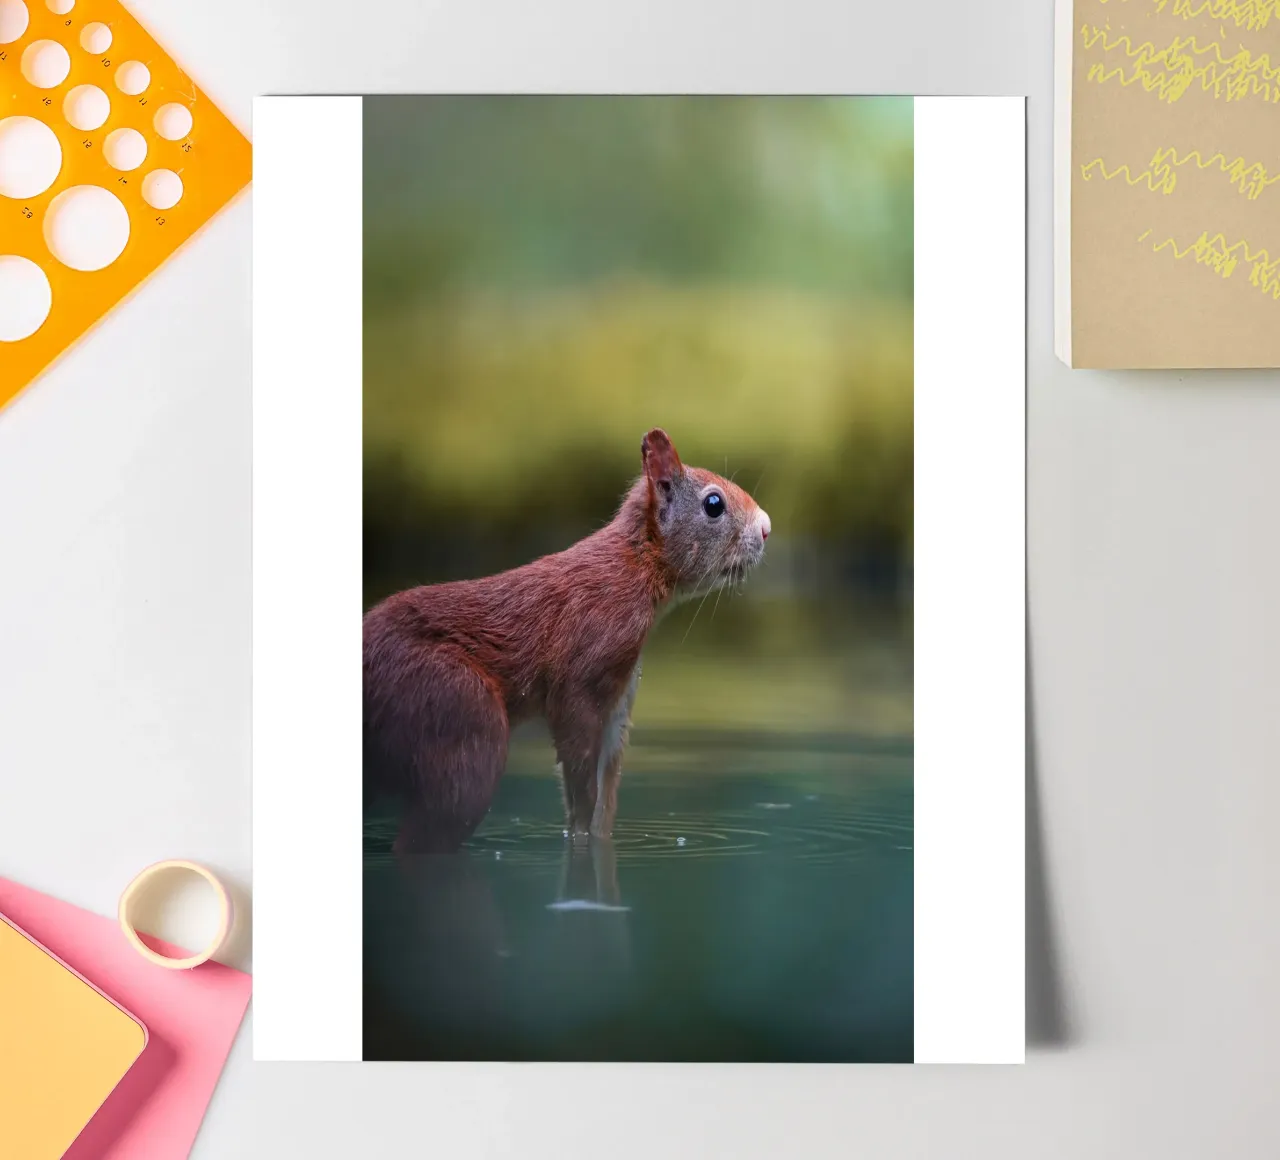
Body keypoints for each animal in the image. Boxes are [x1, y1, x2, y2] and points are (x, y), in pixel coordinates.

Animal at [363, 428, 770, 854]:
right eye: (713, 504)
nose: (766, 527)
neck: (635, 567)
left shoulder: (620, 696)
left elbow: (605, 791)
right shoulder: (583, 671)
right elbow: (580, 771)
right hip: (454, 711)